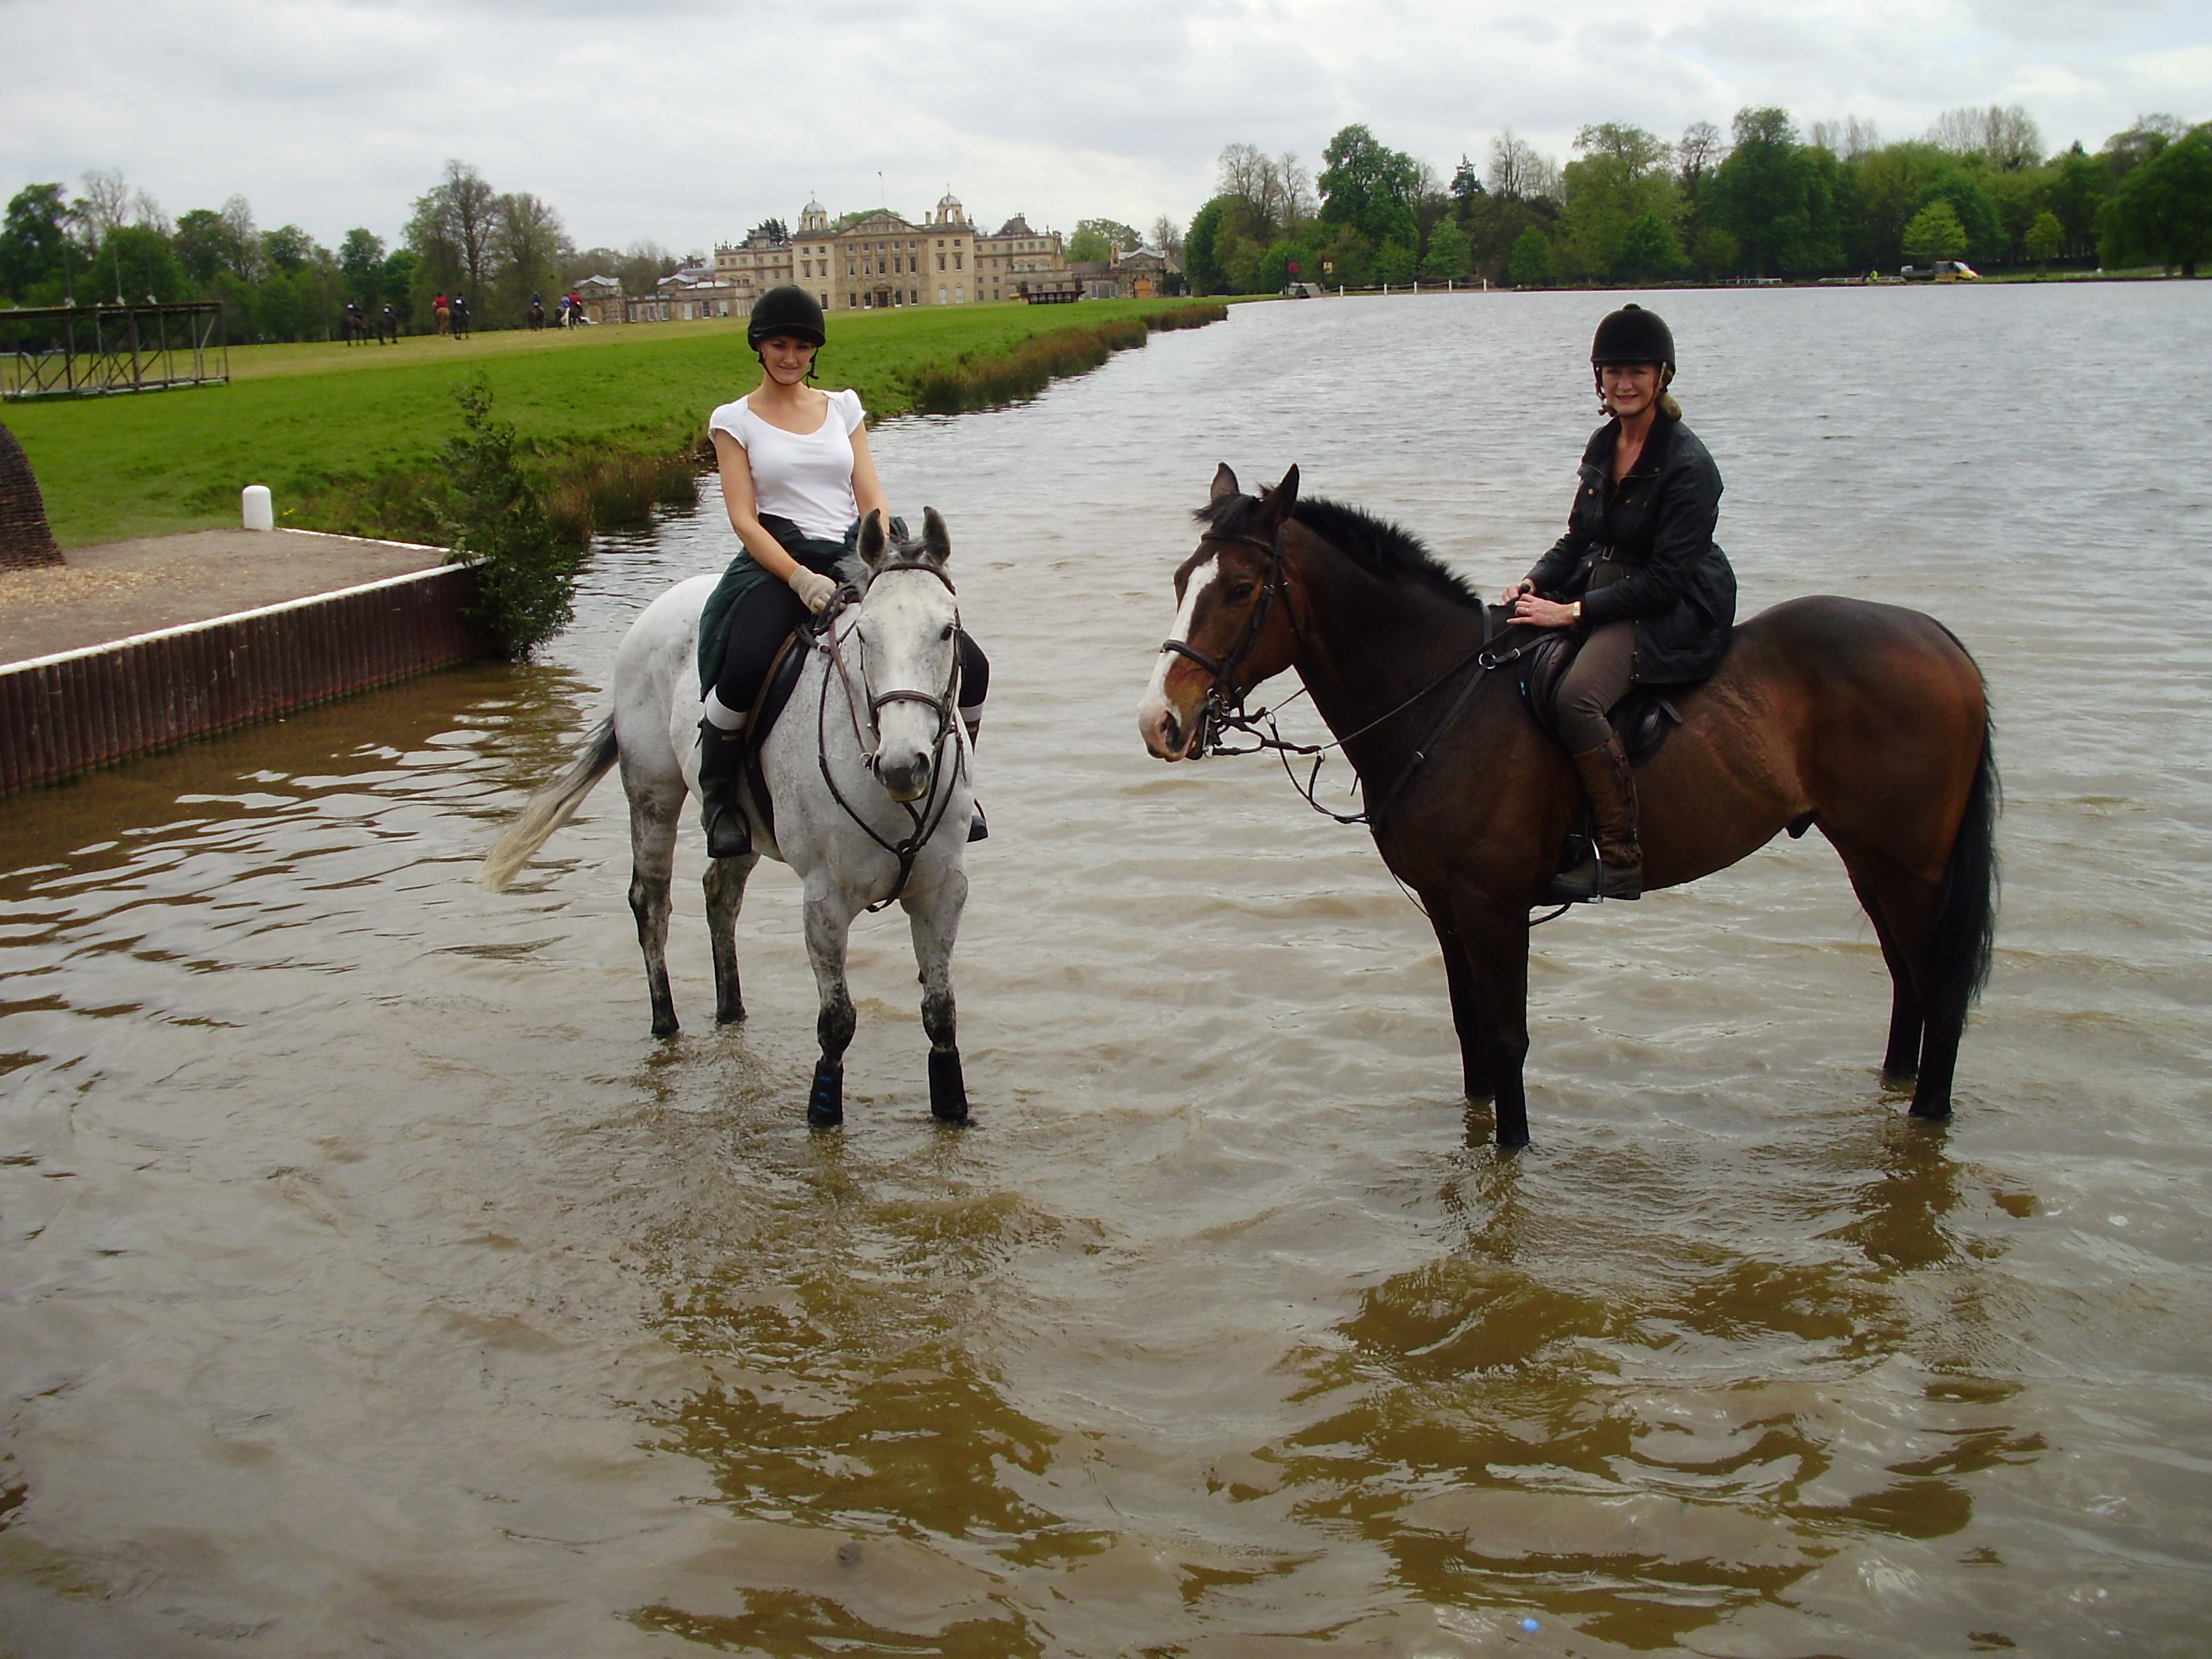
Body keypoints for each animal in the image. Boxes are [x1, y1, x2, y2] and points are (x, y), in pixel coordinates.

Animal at [479, 509, 979, 1129]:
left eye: (947, 631)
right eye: (864, 635)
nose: (903, 766)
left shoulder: (941, 891)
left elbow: (941, 1011)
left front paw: (953, 1109)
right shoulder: (824, 901)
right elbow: (837, 1021)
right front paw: (822, 1112)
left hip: (739, 826)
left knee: (720, 894)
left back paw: (731, 1009)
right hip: (652, 794)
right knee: (652, 903)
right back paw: (665, 1021)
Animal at [1137, 465, 1998, 1148]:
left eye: (1240, 590)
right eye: (1182, 581)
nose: (1161, 722)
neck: (1441, 697)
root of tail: (1941, 643)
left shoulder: (1492, 906)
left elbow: (1506, 1040)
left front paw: (1510, 1157)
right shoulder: (1446, 905)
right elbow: (1471, 1035)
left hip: (1912, 866)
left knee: (1940, 987)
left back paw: (1926, 1118)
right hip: (1871, 856)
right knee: (1909, 978)